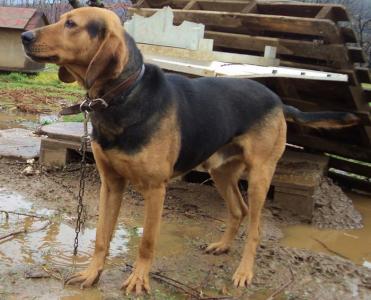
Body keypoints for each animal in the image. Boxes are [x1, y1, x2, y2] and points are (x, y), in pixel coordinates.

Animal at [21, 7, 358, 296]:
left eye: (71, 24)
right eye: (61, 19)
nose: (25, 36)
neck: (124, 96)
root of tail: (278, 100)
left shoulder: (155, 189)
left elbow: (146, 241)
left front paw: (139, 280)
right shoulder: (111, 184)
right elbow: (102, 238)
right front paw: (92, 274)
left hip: (260, 176)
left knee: (255, 227)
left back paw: (244, 272)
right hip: (221, 172)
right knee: (239, 210)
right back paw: (221, 246)